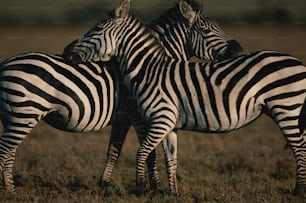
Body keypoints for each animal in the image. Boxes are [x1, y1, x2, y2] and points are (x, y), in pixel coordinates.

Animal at [0, 0, 241, 193]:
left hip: (13, 117)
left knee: (10, 152)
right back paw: (10, 192)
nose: (238, 51)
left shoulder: (123, 119)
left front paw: (104, 185)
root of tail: (4, 64)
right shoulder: (141, 117)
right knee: (6, 150)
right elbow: (151, 153)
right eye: (206, 30)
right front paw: (153, 187)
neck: (150, 65)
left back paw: (8, 188)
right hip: (24, 113)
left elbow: (113, 152)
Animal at [66, 0, 306, 197]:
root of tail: (299, 63)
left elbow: (142, 153)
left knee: (299, 148)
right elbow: (169, 158)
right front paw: (171, 193)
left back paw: (298, 191)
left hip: (287, 108)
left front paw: (141, 189)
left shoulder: (157, 119)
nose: (68, 52)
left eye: (97, 29)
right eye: (206, 29)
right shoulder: (167, 124)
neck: (149, 69)